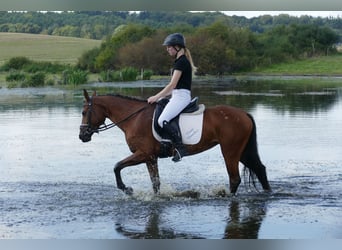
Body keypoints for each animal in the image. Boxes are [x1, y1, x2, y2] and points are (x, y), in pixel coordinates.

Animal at [79, 89, 272, 195]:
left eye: (84, 112)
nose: (82, 136)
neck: (134, 118)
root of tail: (244, 114)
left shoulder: (144, 154)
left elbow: (117, 166)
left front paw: (127, 189)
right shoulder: (151, 158)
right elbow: (155, 182)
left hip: (230, 151)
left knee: (234, 179)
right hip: (242, 151)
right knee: (260, 169)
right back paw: (268, 192)